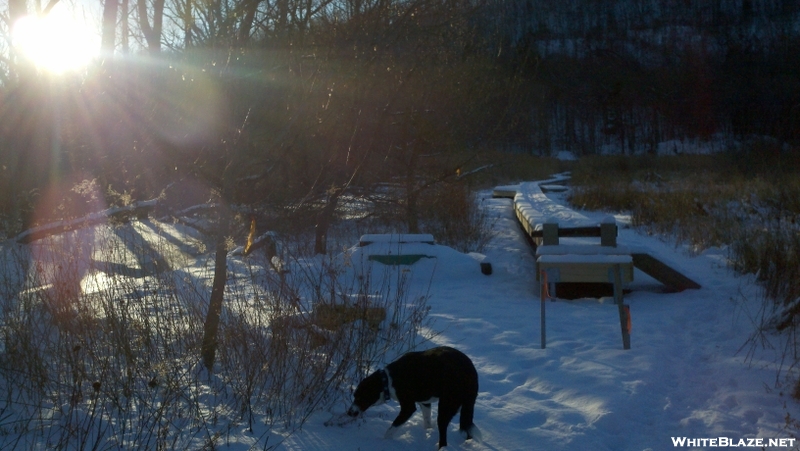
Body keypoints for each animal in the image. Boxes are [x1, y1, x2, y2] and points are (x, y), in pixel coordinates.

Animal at [346, 346, 478, 448]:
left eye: (361, 398)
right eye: (354, 396)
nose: (349, 413)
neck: (387, 380)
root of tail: (470, 372)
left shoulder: (408, 408)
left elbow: (391, 429)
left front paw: (383, 442)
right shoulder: (424, 402)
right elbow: (427, 421)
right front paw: (427, 432)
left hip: (446, 407)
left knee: (444, 437)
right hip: (467, 407)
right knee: (467, 428)